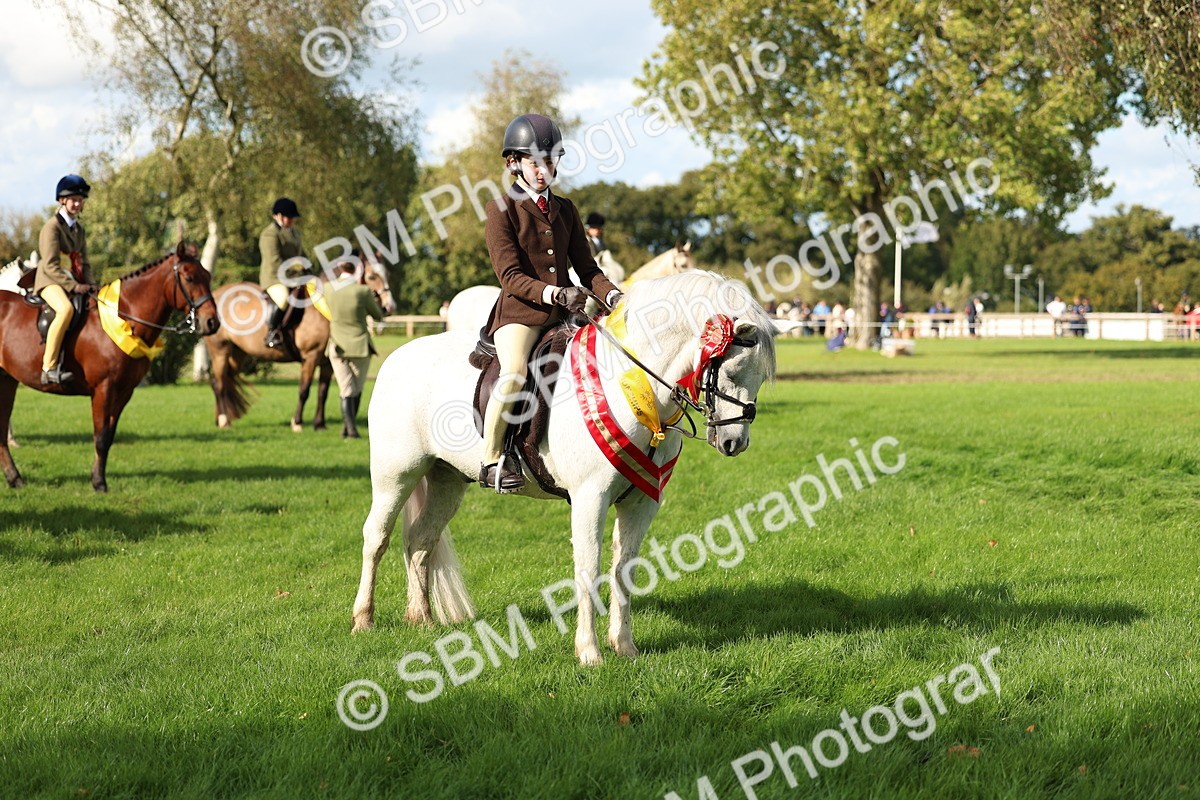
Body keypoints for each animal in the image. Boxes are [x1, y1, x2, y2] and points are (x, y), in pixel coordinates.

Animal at [0, 242, 220, 491]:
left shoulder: (124, 391)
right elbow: (101, 436)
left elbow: (109, 437)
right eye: (190, 277)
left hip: (7, 380)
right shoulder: (103, 389)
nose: (212, 322)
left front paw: (98, 479)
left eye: (208, 276)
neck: (125, 318)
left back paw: (14, 478)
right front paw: (99, 483)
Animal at [204, 258, 395, 431]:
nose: (389, 307)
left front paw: (319, 424)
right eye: (371, 276)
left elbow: (323, 392)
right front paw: (297, 423)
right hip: (220, 351)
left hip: (237, 354)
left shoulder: (327, 363)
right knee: (219, 383)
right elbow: (304, 390)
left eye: (387, 274)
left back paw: (220, 418)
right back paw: (224, 421)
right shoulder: (310, 357)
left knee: (223, 380)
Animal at [351, 270, 776, 665]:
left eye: (760, 378)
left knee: (420, 541)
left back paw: (421, 618)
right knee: (377, 537)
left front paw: (624, 647)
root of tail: (397, 358)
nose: (734, 442)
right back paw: (363, 620)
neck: (634, 389)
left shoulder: (641, 501)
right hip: (395, 476)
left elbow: (624, 569)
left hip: (447, 480)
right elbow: (588, 568)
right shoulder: (590, 498)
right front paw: (589, 652)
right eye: (732, 372)